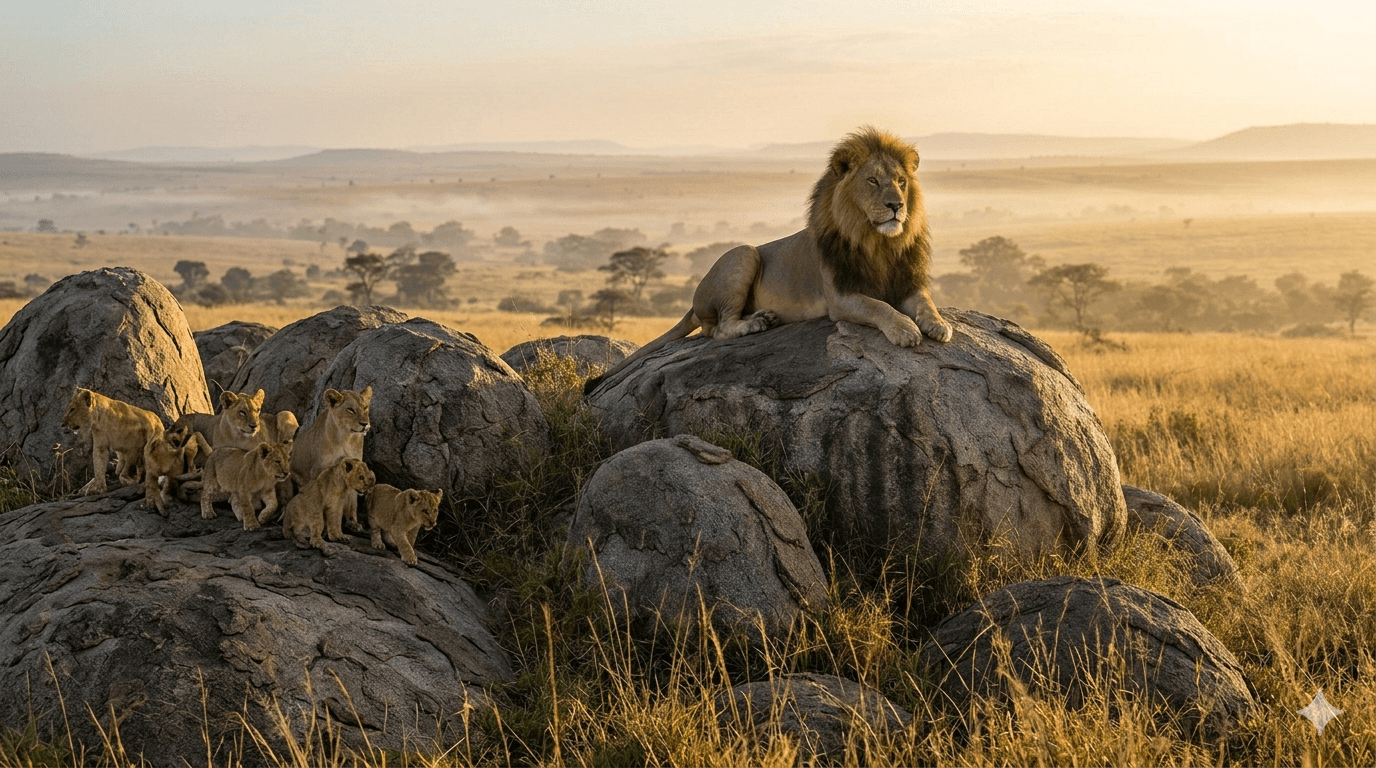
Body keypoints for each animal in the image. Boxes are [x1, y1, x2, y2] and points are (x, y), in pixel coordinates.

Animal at [584, 126, 953, 395]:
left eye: (901, 182)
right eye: (872, 180)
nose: (896, 206)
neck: (878, 242)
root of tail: (693, 303)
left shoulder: (906, 282)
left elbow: (926, 302)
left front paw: (938, 325)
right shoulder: (841, 297)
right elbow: (879, 307)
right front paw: (905, 330)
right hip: (744, 253)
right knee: (718, 329)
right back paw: (757, 322)